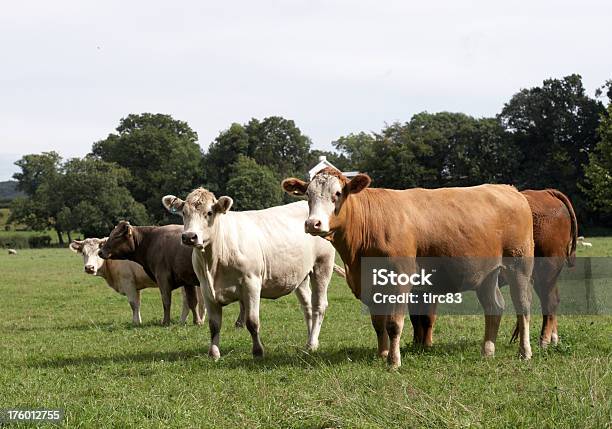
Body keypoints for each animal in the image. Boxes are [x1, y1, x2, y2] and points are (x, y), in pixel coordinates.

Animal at [163, 189, 334, 360]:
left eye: (209, 213)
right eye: (184, 213)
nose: (189, 236)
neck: (213, 262)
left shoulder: (251, 283)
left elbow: (252, 322)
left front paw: (258, 352)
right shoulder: (206, 288)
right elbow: (214, 325)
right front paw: (214, 353)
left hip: (323, 264)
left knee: (319, 305)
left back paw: (312, 344)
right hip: (300, 275)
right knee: (307, 307)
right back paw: (310, 339)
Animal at [284, 167, 532, 368]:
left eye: (337, 194)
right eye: (308, 195)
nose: (312, 224)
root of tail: (509, 189)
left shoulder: (400, 280)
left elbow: (394, 324)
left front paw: (394, 361)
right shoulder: (370, 285)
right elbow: (378, 323)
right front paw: (382, 354)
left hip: (519, 264)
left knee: (523, 307)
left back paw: (525, 351)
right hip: (486, 274)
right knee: (494, 307)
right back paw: (487, 350)